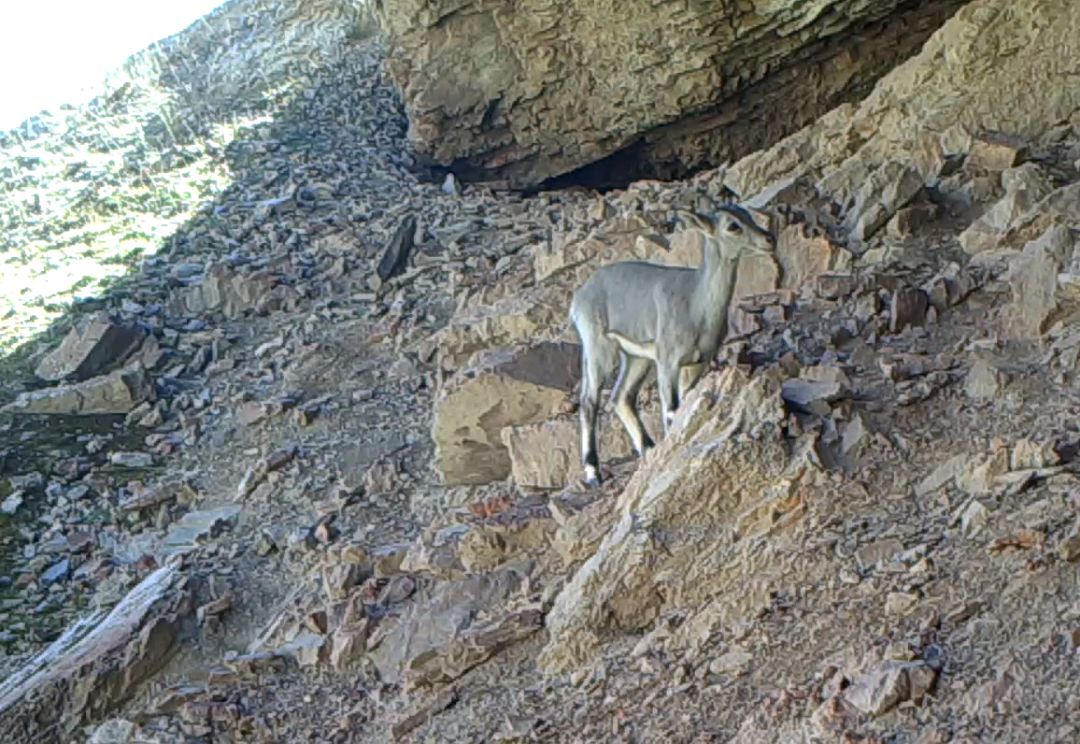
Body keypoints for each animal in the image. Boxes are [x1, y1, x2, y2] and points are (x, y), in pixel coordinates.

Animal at [565, 203, 777, 483]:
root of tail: (579, 298)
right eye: (733, 226)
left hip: (637, 357)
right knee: (590, 401)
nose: (769, 239)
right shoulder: (668, 361)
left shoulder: (697, 363)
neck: (697, 304)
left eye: (749, 216)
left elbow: (685, 405)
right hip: (599, 346)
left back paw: (648, 448)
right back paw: (593, 472)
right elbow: (672, 410)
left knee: (621, 396)